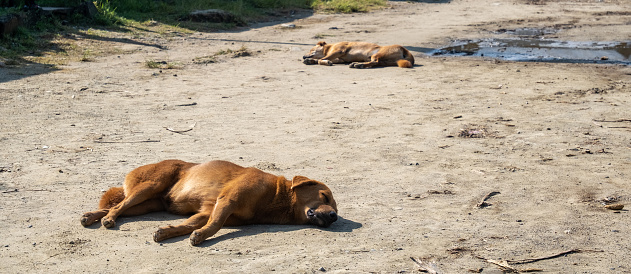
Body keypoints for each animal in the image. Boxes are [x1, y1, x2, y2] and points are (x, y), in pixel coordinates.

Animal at [81, 159, 338, 245]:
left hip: (147, 204)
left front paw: (167, 232)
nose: (334, 217)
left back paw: (91, 216)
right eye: (325, 196)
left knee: (116, 206)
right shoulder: (227, 200)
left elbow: (189, 224)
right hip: (150, 185)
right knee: (118, 206)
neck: (275, 197)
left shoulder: (208, 211)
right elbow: (214, 225)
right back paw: (108, 219)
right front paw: (201, 237)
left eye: (335, 210)